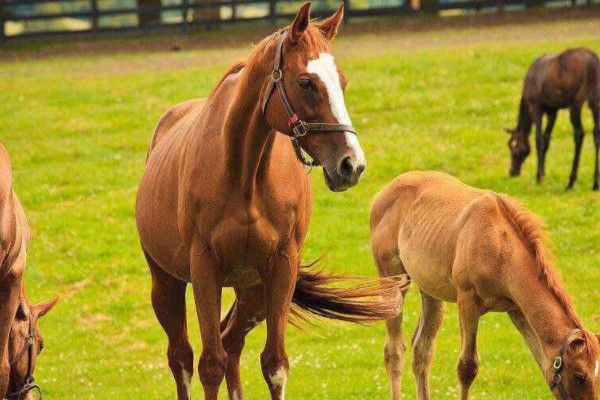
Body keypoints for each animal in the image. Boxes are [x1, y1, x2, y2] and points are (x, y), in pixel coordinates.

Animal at [138, 3, 406, 400]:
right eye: (306, 82)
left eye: (342, 82)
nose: (352, 165)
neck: (244, 174)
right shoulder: (204, 270)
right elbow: (209, 366)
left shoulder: (281, 267)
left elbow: (274, 364)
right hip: (167, 283)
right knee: (183, 358)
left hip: (253, 291)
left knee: (230, 342)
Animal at [506, 46, 600, 190]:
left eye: (513, 148)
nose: (512, 171)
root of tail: (593, 59)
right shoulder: (552, 111)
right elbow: (546, 140)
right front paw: (543, 173)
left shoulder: (535, 106)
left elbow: (539, 139)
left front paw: (539, 176)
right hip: (595, 101)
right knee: (596, 134)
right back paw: (595, 182)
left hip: (575, 102)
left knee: (579, 134)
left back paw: (571, 181)